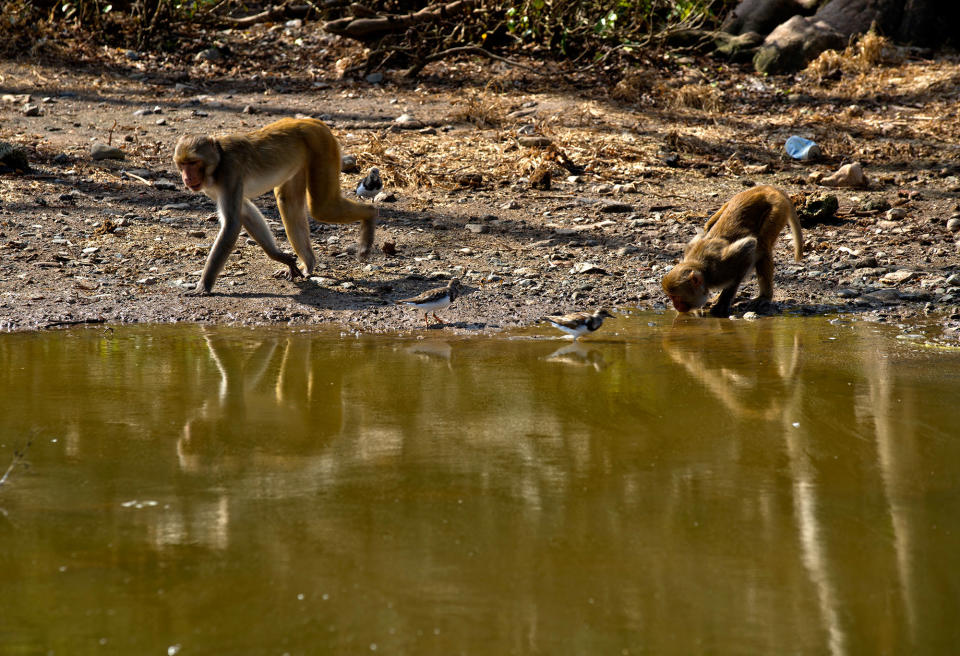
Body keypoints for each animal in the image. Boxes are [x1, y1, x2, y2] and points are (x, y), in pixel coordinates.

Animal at [174, 116, 376, 296]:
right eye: (182, 164)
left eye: (193, 163)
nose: (187, 178)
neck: (218, 162)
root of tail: (309, 121)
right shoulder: (212, 187)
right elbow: (245, 212)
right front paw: (281, 257)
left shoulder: (230, 172)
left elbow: (232, 224)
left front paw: (204, 286)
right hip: (302, 158)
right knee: (288, 201)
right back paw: (308, 264)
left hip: (321, 144)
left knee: (322, 208)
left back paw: (371, 214)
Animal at [660, 184, 804, 318]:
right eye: (671, 297)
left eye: (676, 297)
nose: (675, 306)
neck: (705, 270)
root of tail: (766, 188)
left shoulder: (723, 267)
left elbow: (749, 246)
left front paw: (723, 301)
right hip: (733, 201)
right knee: (710, 225)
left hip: (777, 207)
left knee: (763, 245)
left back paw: (764, 296)